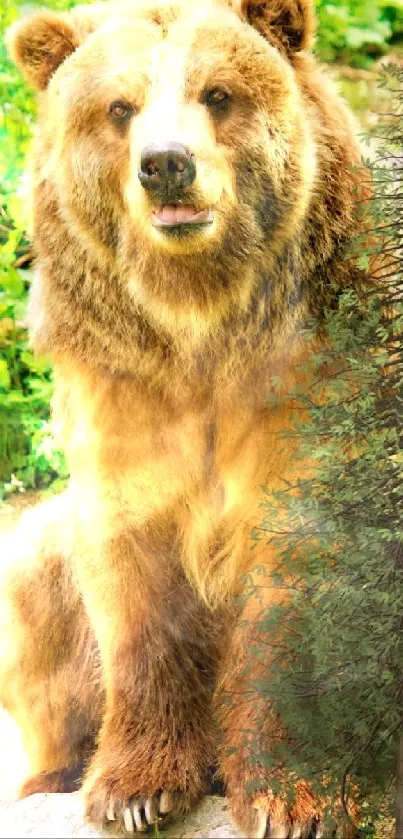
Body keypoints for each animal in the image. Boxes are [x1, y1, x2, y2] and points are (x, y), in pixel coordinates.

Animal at [0, 1, 364, 832]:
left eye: (217, 93)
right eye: (118, 107)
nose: (165, 162)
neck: (198, 323)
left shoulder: (303, 388)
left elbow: (294, 577)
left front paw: (293, 800)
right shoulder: (123, 393)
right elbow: (134, 578)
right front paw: (135, 789)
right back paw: (53, 773)